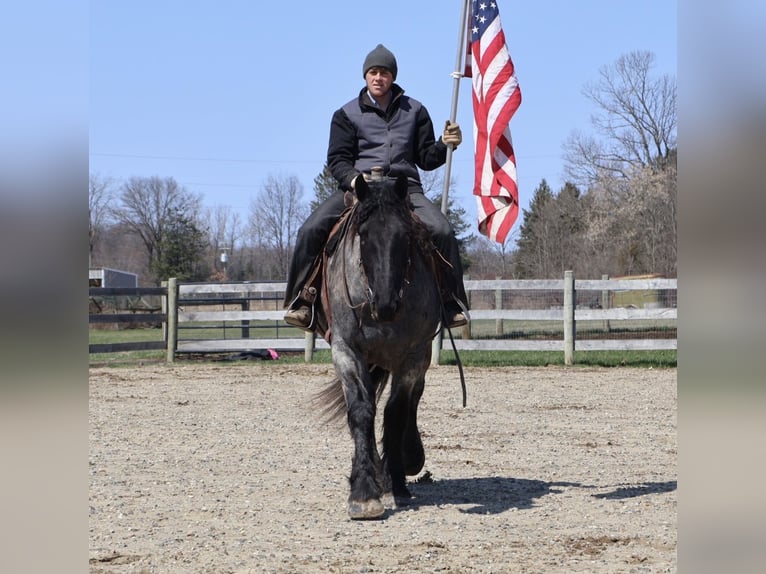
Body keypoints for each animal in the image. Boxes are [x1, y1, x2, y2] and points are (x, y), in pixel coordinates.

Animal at [316, 174, 442, 520]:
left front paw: (396, 481)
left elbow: (395, 413)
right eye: (363, 234)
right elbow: (362, 411)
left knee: (411, 401)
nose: (386, 304)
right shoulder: (346, 351)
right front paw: (363, 491)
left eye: (405, 235)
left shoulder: (414, 356)